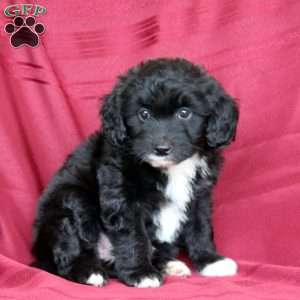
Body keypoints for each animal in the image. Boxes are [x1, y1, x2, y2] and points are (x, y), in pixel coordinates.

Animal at [31, 57, 239, 288]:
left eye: (184, 113)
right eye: (143, 114)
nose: (161, 149)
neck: (168, 168)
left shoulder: (199, 195)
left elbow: (200, 227)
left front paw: (211, 260)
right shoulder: (123, 197)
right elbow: (134, 236)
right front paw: (141, 273)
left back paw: (169, 264)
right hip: (69, 203)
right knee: (68, 251)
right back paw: (88, 272)